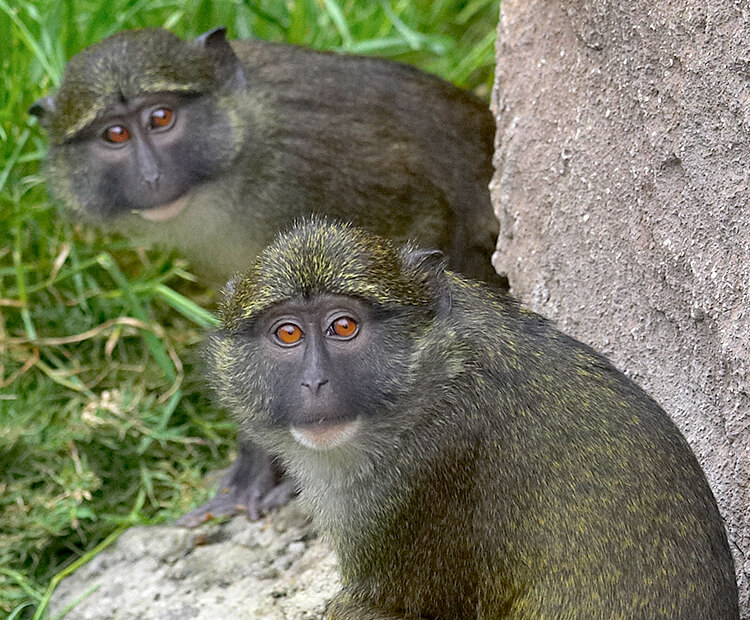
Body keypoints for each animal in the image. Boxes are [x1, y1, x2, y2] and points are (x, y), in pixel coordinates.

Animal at [29, 26, 502, 524]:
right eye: (115, 133)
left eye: (161, 118)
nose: (152, 176)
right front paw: (251, 477)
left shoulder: (317, 162)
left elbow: (424, 230)